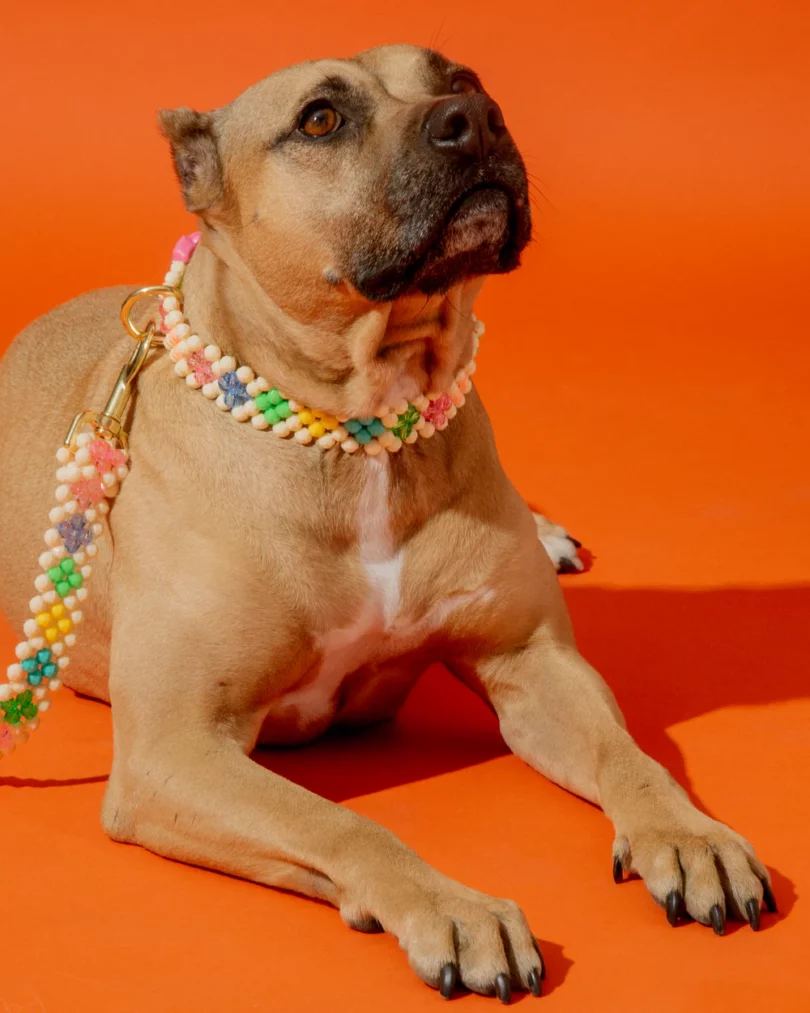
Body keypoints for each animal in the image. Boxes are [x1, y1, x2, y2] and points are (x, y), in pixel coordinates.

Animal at [0, 43, 773, 1000]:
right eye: (320, 119)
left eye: (461, 77)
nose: (475, 119)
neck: (368, 430)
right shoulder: (176, 750)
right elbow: (338, 822)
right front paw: (455, 907)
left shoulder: (534, 662)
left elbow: (631, 757)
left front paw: (693, 835)